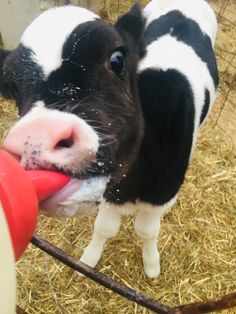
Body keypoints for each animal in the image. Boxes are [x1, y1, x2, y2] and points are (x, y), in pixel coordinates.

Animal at [0, 0, 218, 280]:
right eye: (12, 88)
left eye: (117, 59)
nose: (37, 136)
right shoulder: (110, 193)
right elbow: (104, 228)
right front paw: (87, 261)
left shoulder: (162, 197)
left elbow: (147, 231)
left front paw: (151, 264)